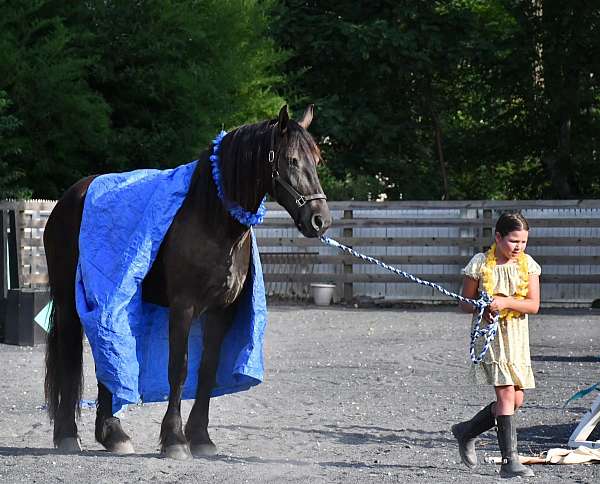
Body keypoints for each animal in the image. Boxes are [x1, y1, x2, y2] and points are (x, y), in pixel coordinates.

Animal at [42, 105, 332, 458]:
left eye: (316, 160)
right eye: (291, 160)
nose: (320, 220)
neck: (210, 221)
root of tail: (68, 199)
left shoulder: (221, 312)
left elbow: (206, 370)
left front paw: (201, 437)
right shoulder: (183, 308)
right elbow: (178, 370)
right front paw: (175, 440)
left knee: (108, 357)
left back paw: (114, 434)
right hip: (69, 303)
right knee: (71, 358)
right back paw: (68, 435)